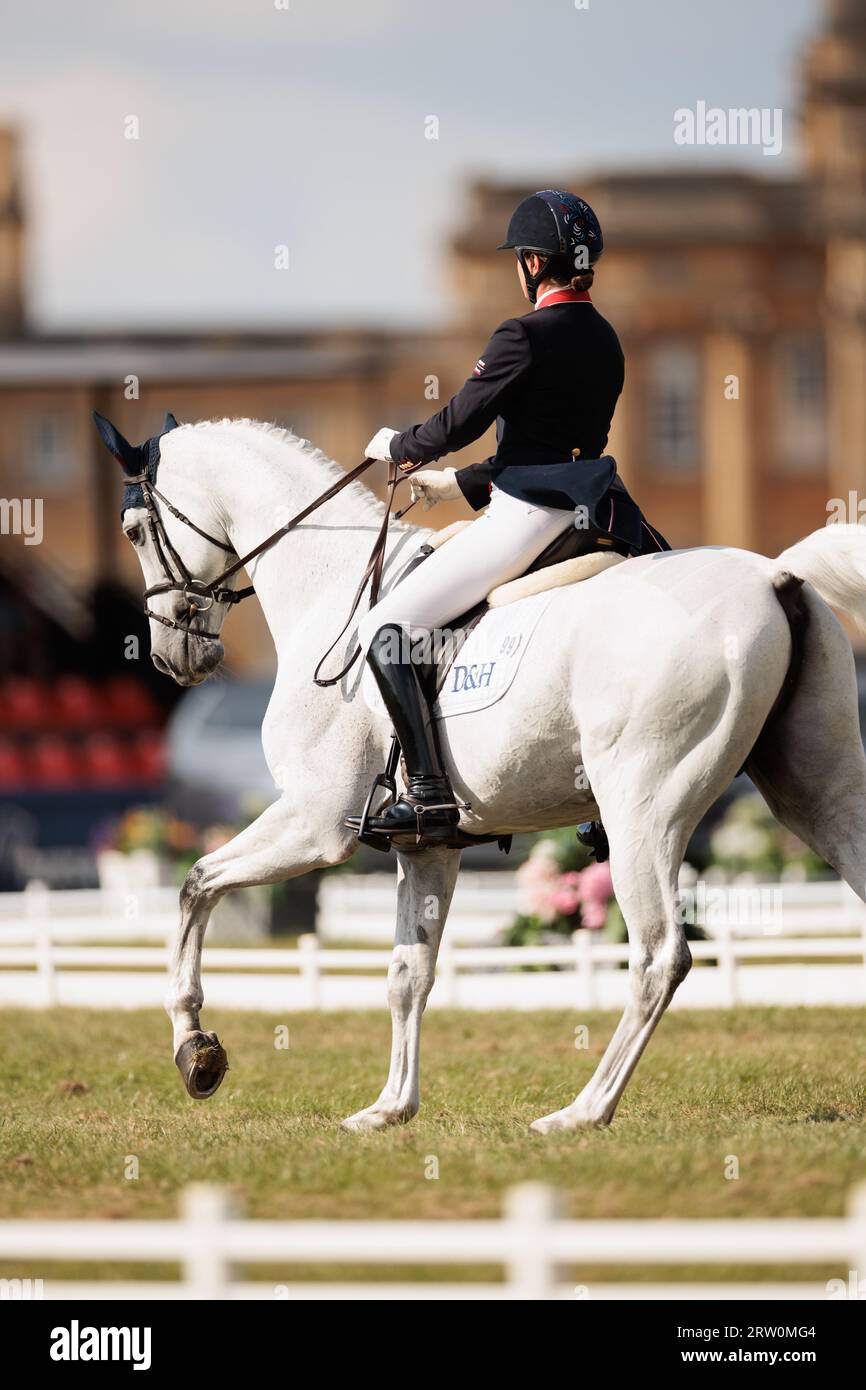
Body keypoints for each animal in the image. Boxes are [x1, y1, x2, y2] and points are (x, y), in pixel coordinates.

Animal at [108, 417, 866, 1134]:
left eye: (135, 530)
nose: (174, 654)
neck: (332, 584)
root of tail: (772, 577)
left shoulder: (315, 822)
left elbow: (197, 884)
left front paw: (196, 1051)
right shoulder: (428, 844)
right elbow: (407, 974)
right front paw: (389, 1108)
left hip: (644, 809)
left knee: (659, 956)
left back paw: (582, 1111)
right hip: (817, 796)